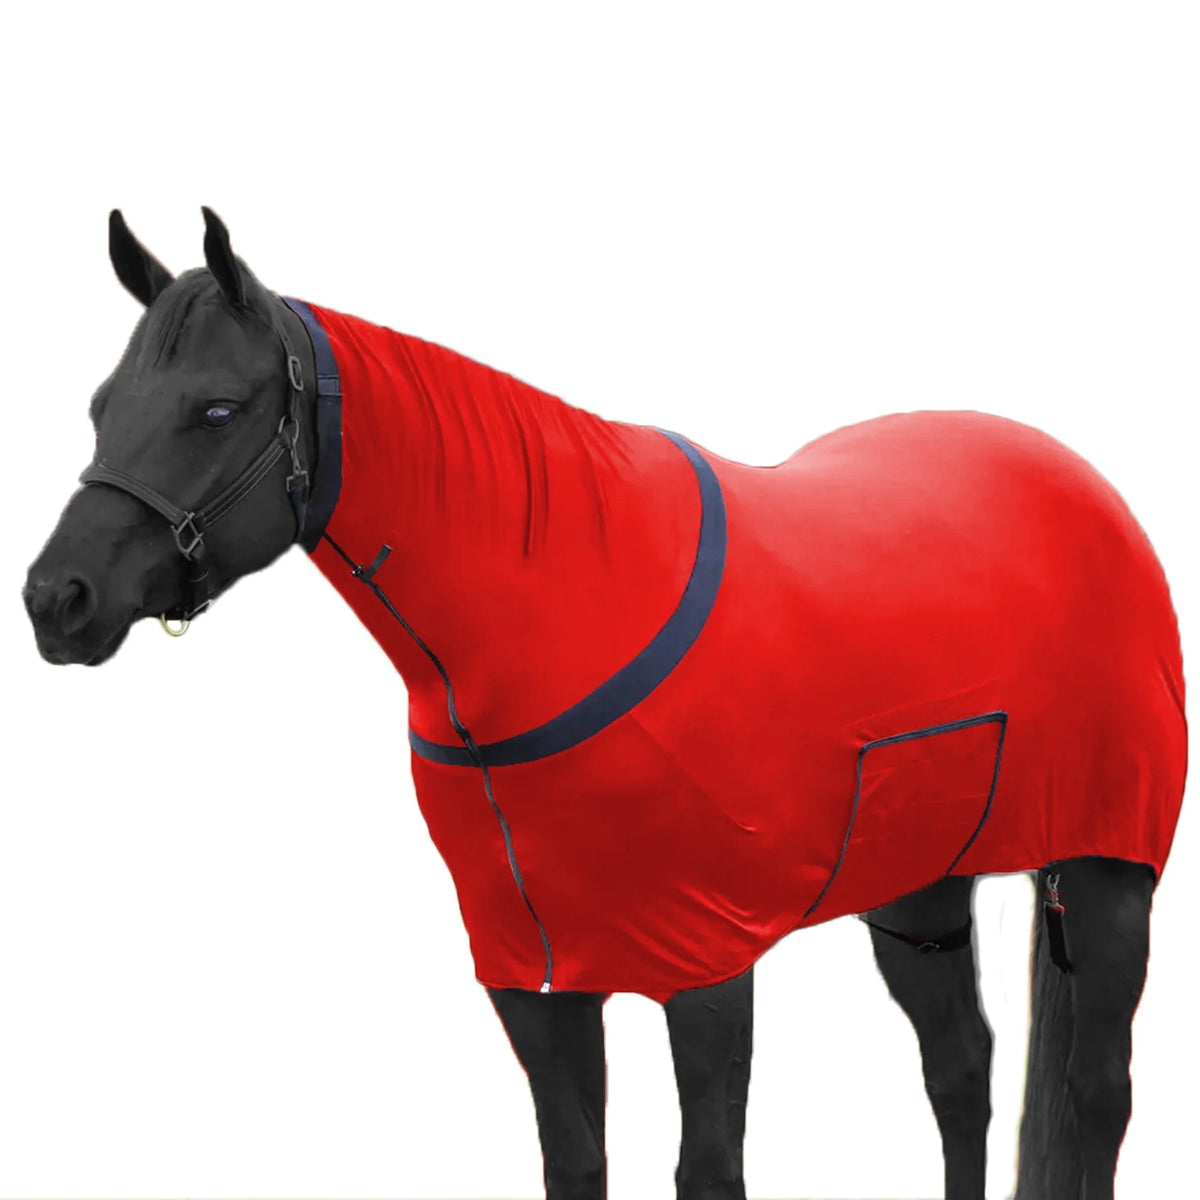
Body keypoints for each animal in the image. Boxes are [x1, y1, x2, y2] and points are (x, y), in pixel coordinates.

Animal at [23, 208, 1186, 1200]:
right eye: (101, 407)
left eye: (216, 409)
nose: (55, 601)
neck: (567, 614)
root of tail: (1085, 487)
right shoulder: (533, 978)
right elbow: (575, 1162)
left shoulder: (705, 964)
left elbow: (707, 1171)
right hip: (920, 887)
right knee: (962, 1069)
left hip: (1107, 873)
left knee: (1096, 1097)